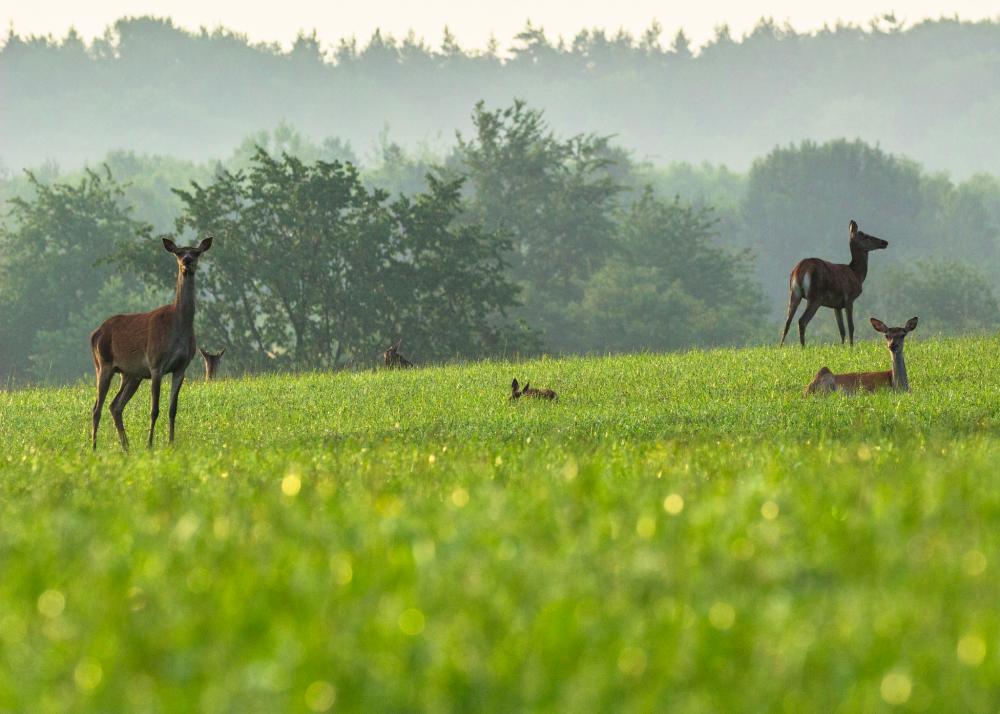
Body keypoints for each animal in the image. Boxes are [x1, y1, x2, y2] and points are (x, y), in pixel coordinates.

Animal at [90, 236, 215, 448]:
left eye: (196, 252)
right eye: (178, 252)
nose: (187, 260)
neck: (178, 328)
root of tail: (95, 333)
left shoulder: (181, 367)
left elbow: (173, 409)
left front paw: (171, 443)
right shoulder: (156, 364)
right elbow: (154, 409)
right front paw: (149, 445)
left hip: (131, 374)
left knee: (115, 406)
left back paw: (126, 447)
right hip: (103, 364)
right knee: (96, 408)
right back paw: (94, 447)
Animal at [780, 220, 892, 348]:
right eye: (866, 236)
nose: (884, 242)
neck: (857, 274)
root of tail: (799, 270)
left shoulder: (836, 305)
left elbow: (841, 329)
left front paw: (843, 346)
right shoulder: (849, 298)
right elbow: (851, 326)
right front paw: (851, 347)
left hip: (795, 293)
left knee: (787, 323)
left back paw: (781, 346)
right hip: (815, 296)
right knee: (801, 321)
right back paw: (803, 347)